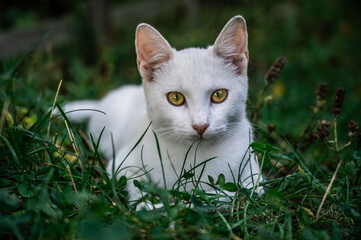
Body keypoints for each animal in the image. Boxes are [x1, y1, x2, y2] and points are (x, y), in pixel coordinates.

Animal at [62, 15, 262, 202]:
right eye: (176, 98)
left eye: (219, 95)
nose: (200, 126)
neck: (196, 156)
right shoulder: (121, 164)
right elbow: (137, 187)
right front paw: (151, 205)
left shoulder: (251, 169)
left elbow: (245, 190)